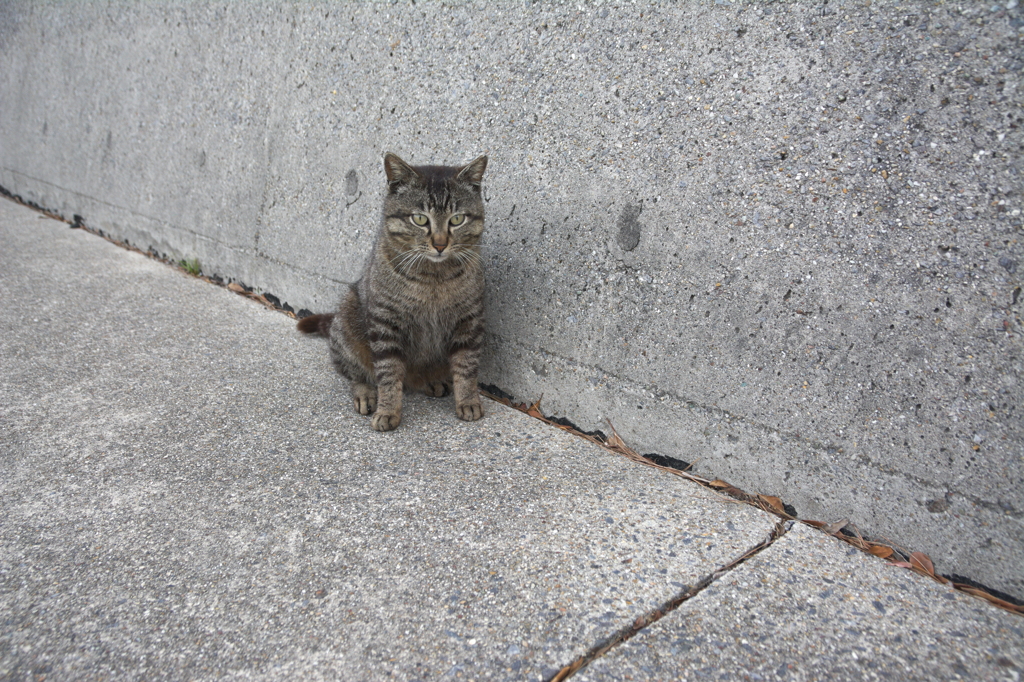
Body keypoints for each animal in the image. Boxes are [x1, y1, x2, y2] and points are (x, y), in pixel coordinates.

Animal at [296, 152, 487, 430]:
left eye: (457, 219)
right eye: (420, 219)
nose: (440, 244)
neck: (433, 279)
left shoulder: (469, 320)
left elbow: (466, 366)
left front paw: (468, 401)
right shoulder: (385, 323)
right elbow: (388, 373)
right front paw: (387, 410)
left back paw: (432, 381)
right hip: (348, 322)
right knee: (355, 374)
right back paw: (366, 394)